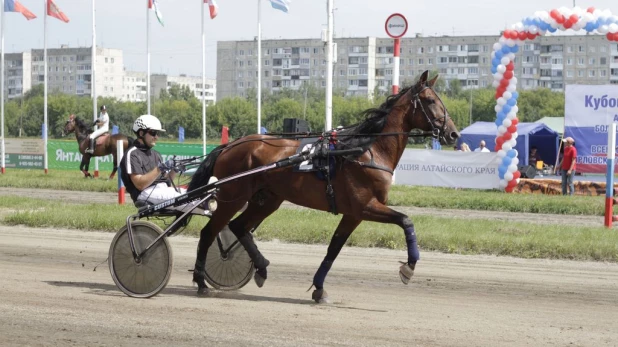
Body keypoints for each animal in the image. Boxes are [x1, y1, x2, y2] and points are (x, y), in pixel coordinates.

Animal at [188, 70, 458, 302]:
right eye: (430, 100)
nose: (453, 134)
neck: (367, 150)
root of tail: (230, 145)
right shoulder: (365, 206)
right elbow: (406, 220)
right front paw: (409, 267)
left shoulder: (353, 214)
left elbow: (333, 249)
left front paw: (319, 288)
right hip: (233, 196)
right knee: (209, 232)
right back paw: (201, 282)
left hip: (267, 199)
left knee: (239, 227)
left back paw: (261, 268)